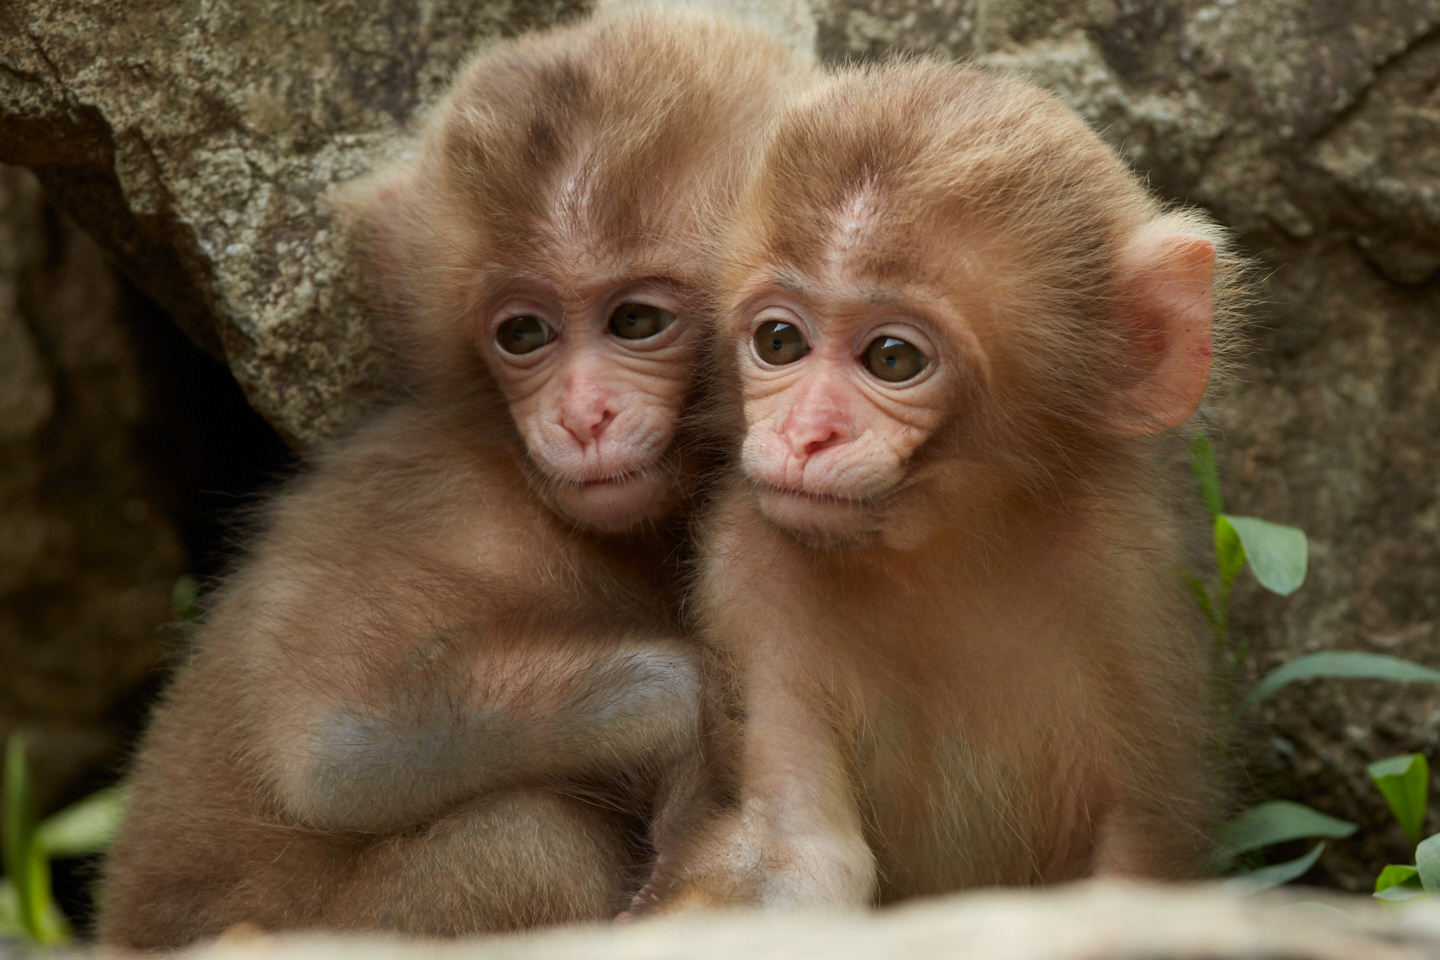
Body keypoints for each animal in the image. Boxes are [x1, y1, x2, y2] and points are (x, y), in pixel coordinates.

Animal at [98, 5, 823, 944]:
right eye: (523, 334)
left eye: (635, 321)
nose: (580, 417)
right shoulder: (438, 498)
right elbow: (334, 752)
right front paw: (680, 708)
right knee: (527, 841)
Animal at [636, 60, 1244, 915]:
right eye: (779, 341)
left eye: (892, 359)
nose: (804, 434)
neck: (942, 550)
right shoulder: (746, 564)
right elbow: (793, 852)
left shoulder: (1129, 582)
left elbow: (1141, 840)